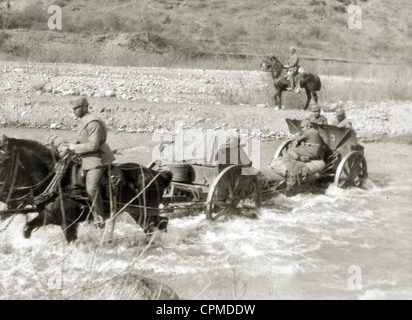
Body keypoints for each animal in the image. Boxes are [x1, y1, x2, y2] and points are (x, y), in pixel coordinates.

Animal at [0, 135, 173, 242]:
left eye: (3, 162)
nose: (4, 197)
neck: (58, 182)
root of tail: (159, 174)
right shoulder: (47, 217)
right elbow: (26, 228)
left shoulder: (69, 224)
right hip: (139, 213)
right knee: (161, 224)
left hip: (144, 213)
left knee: (156, 226)